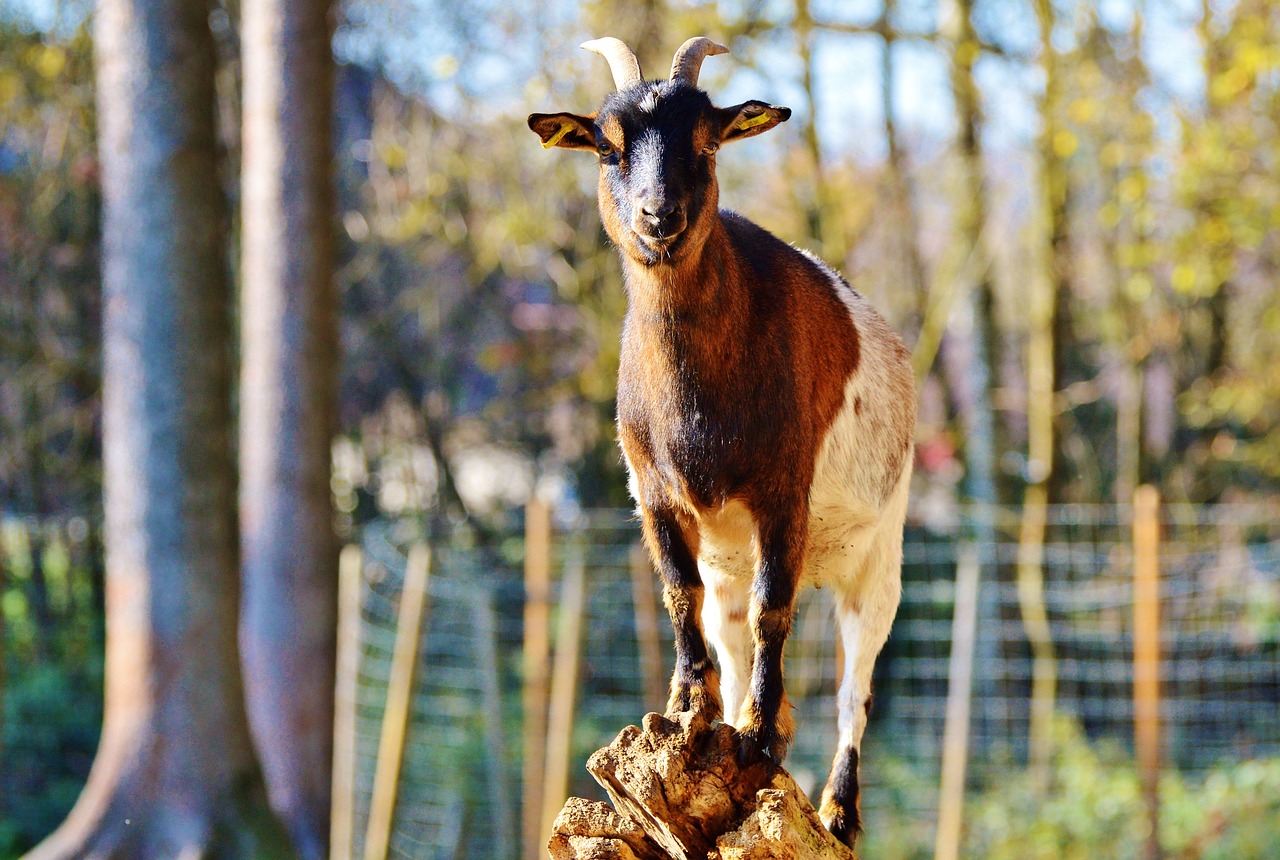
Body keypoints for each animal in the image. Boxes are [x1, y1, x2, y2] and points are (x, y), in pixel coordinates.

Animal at [529, 35, 921, 844]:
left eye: (708, 142)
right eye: (607, 147)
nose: (660, 215)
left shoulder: (783, 492)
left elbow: (778, 609)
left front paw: (762, 736)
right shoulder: (655, 497)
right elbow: (678, 593)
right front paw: (688, 709)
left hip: (881, 554)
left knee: (856, 682)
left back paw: (838, 809)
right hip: (729, 567)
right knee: (734, 638)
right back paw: (731, 718)